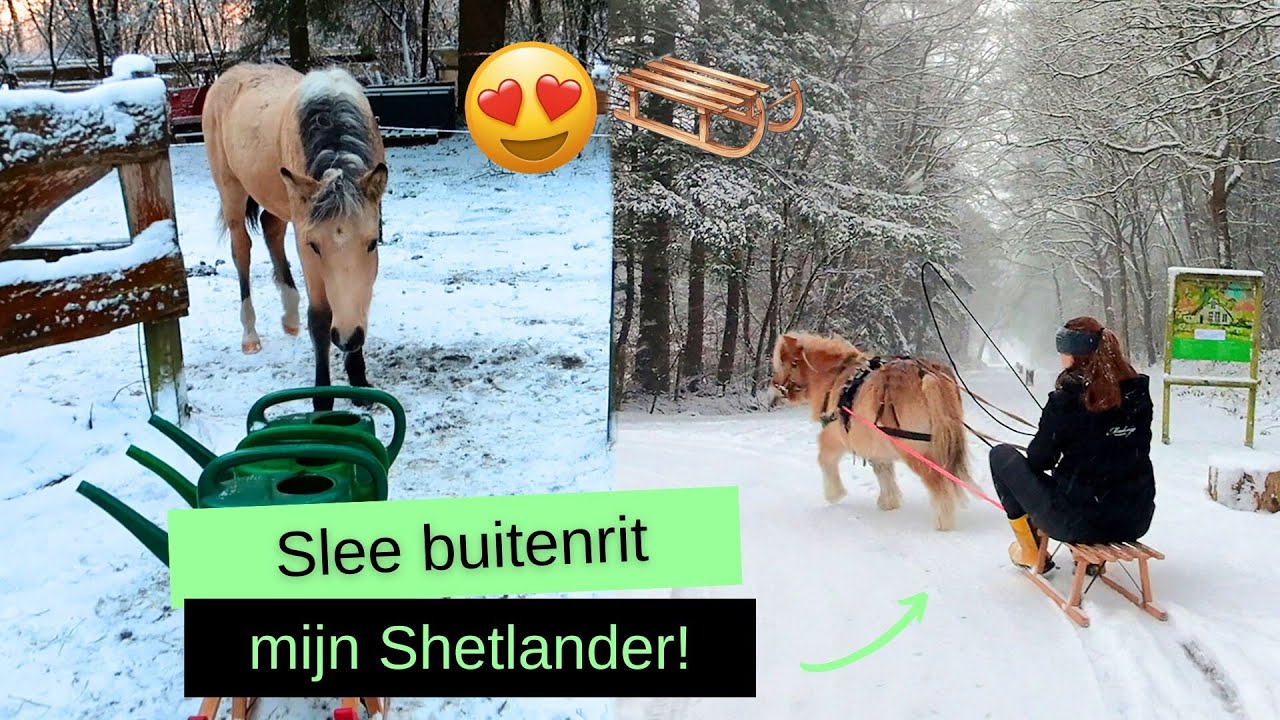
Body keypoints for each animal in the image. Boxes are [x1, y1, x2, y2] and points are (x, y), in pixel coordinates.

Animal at [201, 63, 388, 411]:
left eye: (371, 243)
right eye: (315, 246)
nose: (347, 338)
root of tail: (232, 73)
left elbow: (359, 301)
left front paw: (358, 381)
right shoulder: (304, 239)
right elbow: (320, 317)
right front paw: (323, 400)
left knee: (270, 229)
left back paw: (289, 317)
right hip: (231, 192)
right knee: (241, 250)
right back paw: (250, 336)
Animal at [769, 332, 973, 531]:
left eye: (789, 363)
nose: (775, 388)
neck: (836, 379)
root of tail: (927, 374)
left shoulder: (835, 436)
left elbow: (825, 459)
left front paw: (834, 493)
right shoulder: (876, 444)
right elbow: (883, 470)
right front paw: (889, 502)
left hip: (916, 450)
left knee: (938, 484)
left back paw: (943, 522)